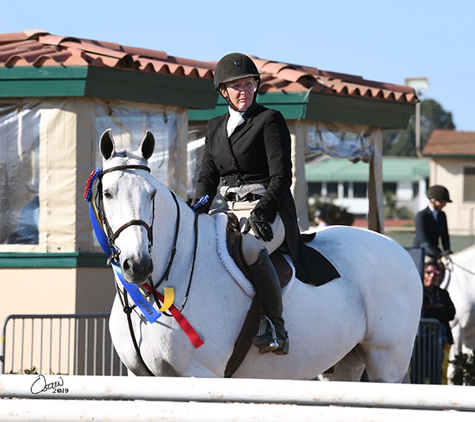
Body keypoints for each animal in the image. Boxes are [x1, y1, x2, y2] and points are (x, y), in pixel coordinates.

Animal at [98, 129, 422, 382]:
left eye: (152, 194)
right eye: (107, 193)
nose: (138, 265)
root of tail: (398, 249)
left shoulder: (200, 373)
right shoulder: (140, 376)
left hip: (386, 363)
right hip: (347, 362)